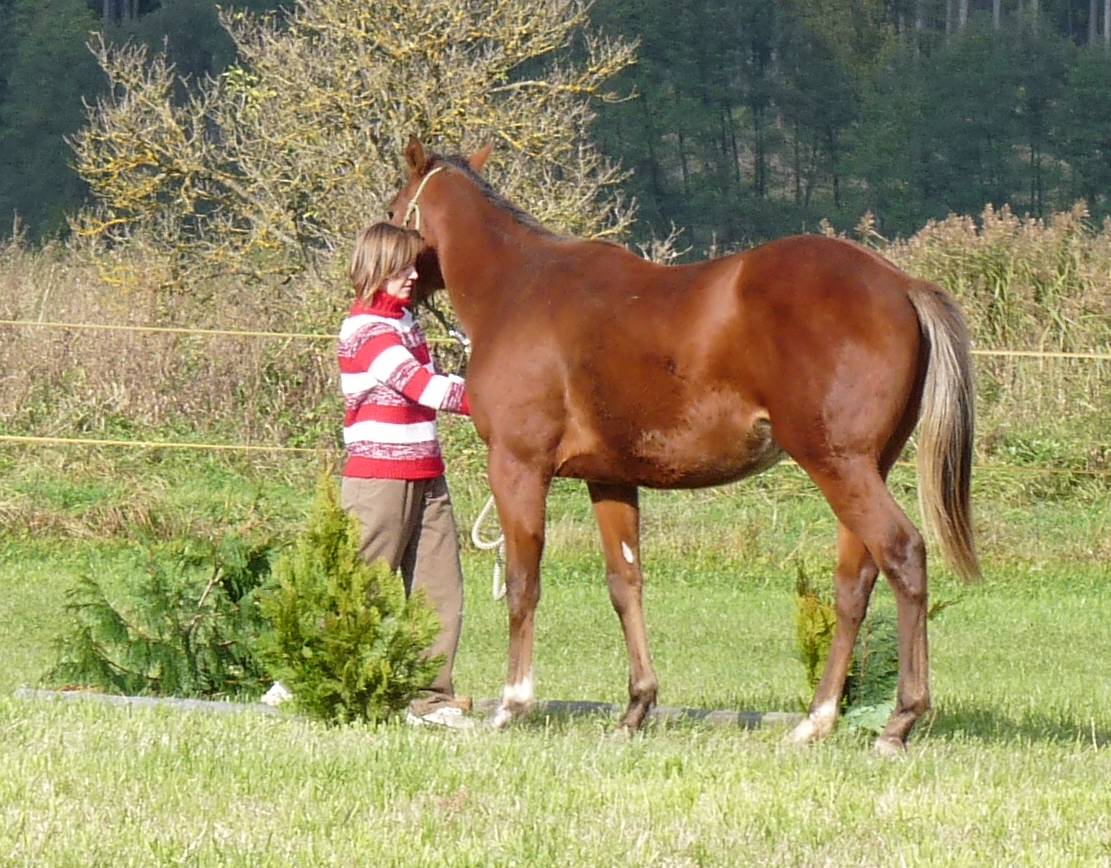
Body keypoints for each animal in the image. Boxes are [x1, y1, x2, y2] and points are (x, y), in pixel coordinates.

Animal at [386, 135, 977, 751]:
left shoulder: (518, 466)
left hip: (840, 467)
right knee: (855, 583)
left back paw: (900, 720)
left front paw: (512, 705)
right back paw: (815, 720)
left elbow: (524, 582)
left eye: (394, 209)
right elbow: (625, 583)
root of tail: (902, 285)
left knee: (903, 555)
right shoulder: (609, 479)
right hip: (864, 470)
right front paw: (636, 708)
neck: (519, 287)